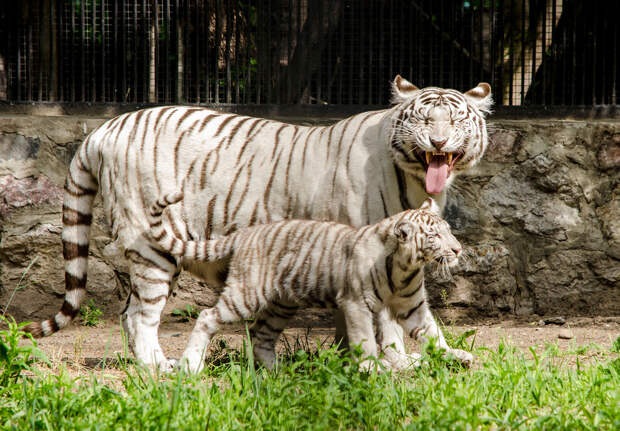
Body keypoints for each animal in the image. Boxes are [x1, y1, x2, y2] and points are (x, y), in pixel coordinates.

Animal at [24, 75, 492, 372]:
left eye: (456, 120)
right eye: (424, 119)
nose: (437, 141)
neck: (416, 179)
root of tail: (105, 127)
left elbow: (413, 318)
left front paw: (447, 357)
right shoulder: (373, 256)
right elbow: (388, 323)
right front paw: (397, 363)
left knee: (127, 312)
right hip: (152, 244)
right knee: (141, 314)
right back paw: (161, 366)